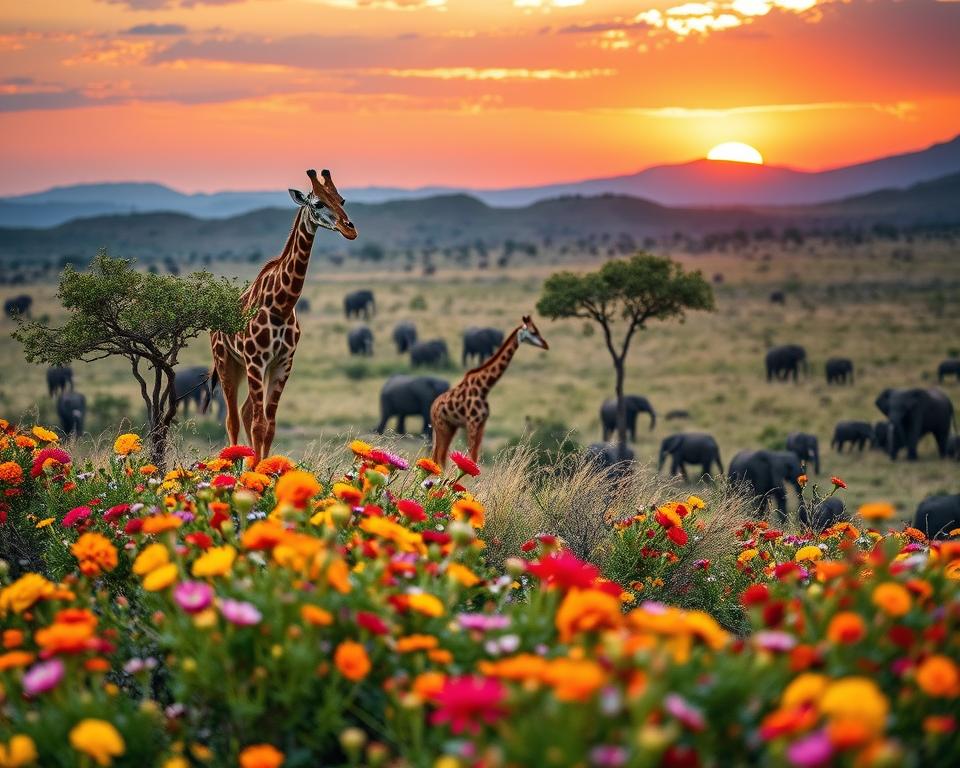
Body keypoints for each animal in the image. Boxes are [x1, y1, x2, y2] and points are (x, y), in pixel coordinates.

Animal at [207, 169, 357, 462]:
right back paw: (234, 464)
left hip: (243, 366)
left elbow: (270, 426)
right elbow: (259, 424)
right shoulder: (256, 360)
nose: (350, 229)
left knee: (245, 412)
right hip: (226, 361)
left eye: (342, 200)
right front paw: (256, 473)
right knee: (233, 418)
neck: (282, 304)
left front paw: (266, 468)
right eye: (318, 203)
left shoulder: (283, 363)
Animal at [431, 315, 549, 466]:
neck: (484, 388)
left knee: (438, 456)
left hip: (450, 427)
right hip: (442, 426)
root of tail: (432, 407)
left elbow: (475, 457)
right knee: (439, 457)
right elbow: (471, 456)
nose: (546, 345)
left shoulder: (481, 424)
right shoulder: (472, 423)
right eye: (533, 332)